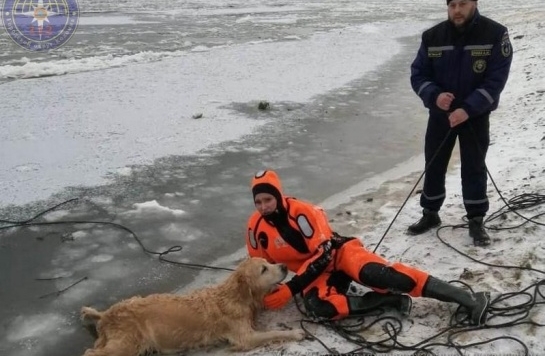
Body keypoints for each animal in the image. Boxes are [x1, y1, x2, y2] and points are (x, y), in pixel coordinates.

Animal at [80, 258, 304, 354]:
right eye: (263, 269)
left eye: (269, 262)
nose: (284, 266)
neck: (236, 296)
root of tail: (106, 315)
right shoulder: (244, 337)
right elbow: (274, 333)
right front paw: (295, 333)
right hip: (128, 344)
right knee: (91, 353)